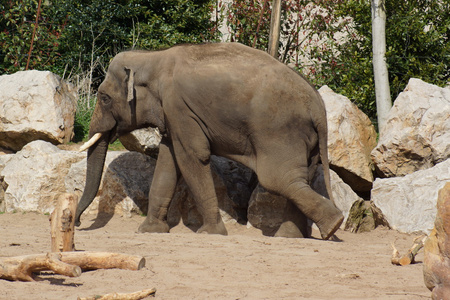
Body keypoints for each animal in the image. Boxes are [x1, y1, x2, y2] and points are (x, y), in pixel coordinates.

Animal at [75, 41, 344, 239]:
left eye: (104, 98)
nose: (77, 223)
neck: (152, 58)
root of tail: (318, 106)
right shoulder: (173, 116)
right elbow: (168, 161)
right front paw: (149, 231)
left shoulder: (179, 108)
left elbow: (192, 157)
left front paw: (210, 233)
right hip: (305, 139)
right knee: (301, 178)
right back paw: (290, 236)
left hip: (280, 132)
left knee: (278, 179)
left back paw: (333, 224)